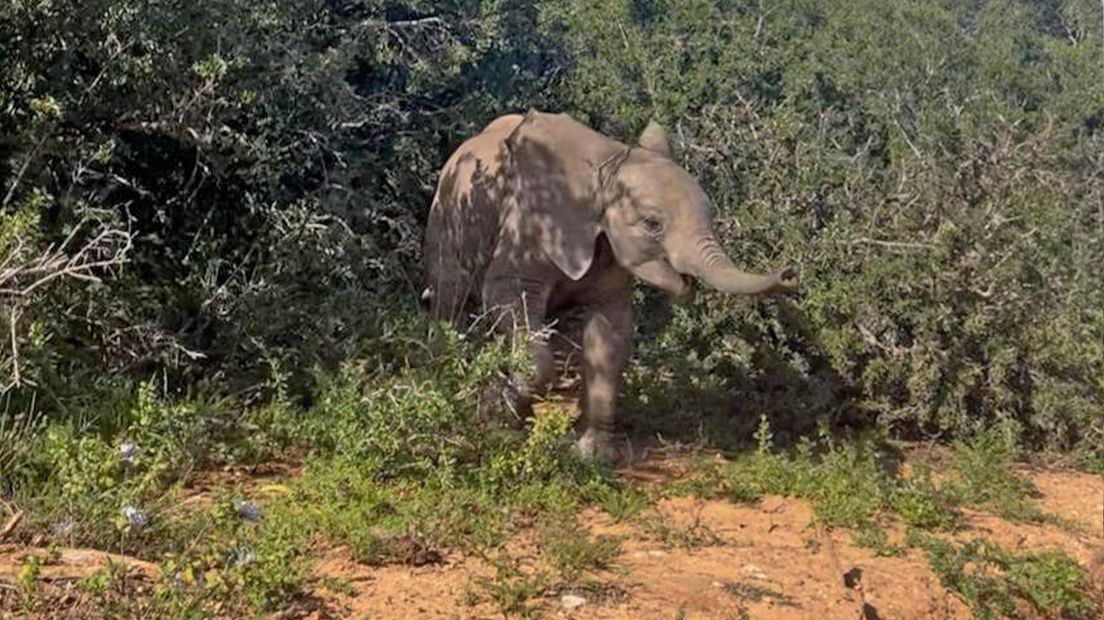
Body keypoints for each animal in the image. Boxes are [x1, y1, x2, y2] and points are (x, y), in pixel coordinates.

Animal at [421, 109, 798, 461]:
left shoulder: (612, 255)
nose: (790, 274)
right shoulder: (527, 227)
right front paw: (501, 411)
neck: (607, 170)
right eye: (652, 224)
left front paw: (594, 455)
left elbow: (609, 338)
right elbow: (507, 299)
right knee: (449, 303)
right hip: (446, 216)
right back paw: (447, 384)